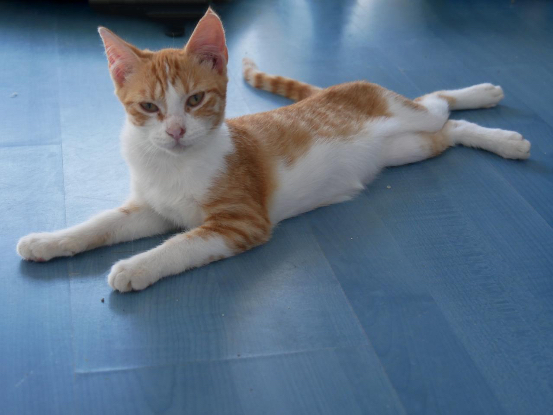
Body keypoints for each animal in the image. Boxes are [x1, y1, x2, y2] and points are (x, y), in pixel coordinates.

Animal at [16, 8, 531, 292]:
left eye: (195, 100)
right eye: (148, 107)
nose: (177, 131)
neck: (174, 164)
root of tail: (334, 88)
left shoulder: (241, 222)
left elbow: (181, 244)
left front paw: (136, 266)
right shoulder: (151, 208)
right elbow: (101, 224)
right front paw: (49, 240)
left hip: (403, 115)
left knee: (437, 101)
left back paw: (488, 102)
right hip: (408, 148)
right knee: (448, 129)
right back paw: (498, 136)